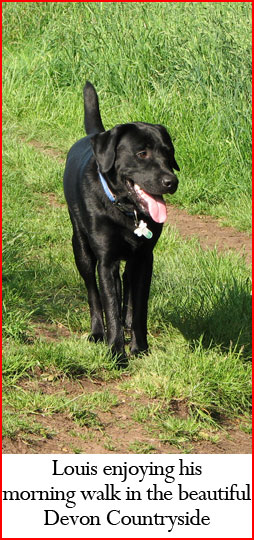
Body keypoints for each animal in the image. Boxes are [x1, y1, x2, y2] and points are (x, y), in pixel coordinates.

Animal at [63, 82, 179, 364]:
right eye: (142, 153)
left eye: (168, 152)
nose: (171, 181)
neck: (128, 212)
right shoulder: (106, 260)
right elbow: (108, 304)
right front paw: (116, 352)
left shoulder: (145, 258)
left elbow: (139, 307)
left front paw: (140, 348)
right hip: (81, 249)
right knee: (94, 293)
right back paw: (97, 332)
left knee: (124, 285)